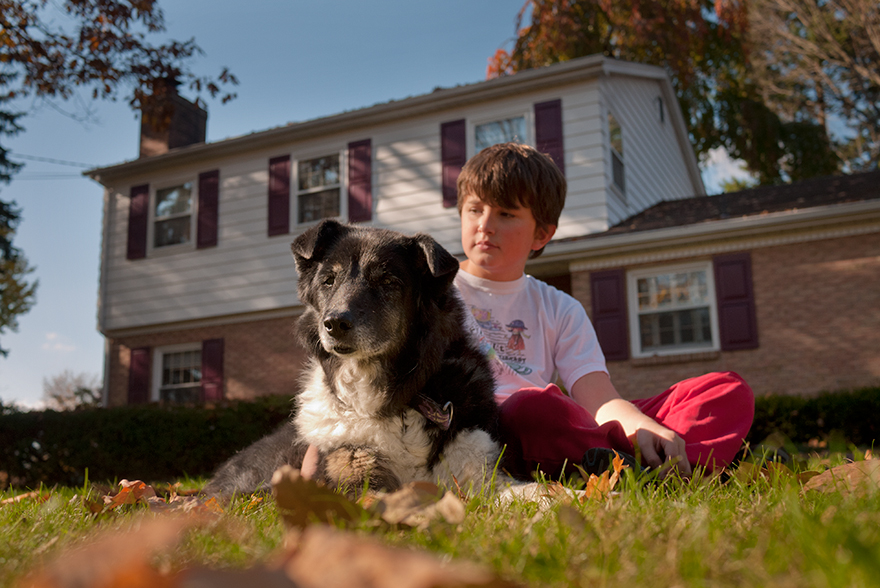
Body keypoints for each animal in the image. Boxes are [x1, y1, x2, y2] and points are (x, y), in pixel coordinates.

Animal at [204, 219, 509, 499]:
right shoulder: (353, 470)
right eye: (328, 281)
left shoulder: (482, 469)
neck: (398, 402)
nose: (335, 324)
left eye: (388, 282)